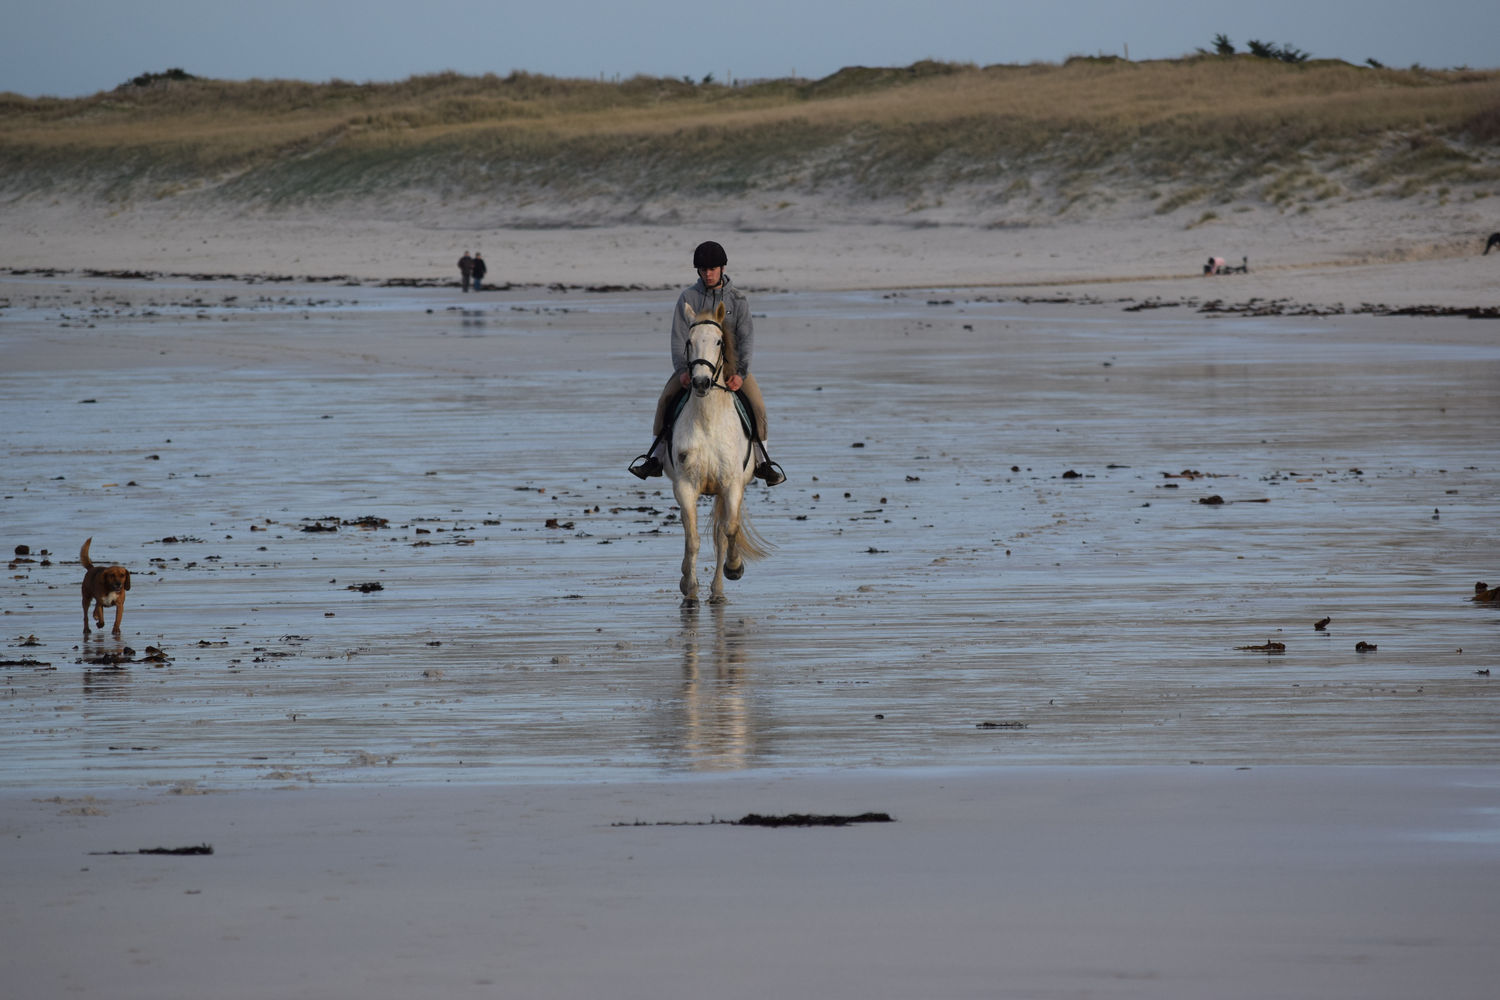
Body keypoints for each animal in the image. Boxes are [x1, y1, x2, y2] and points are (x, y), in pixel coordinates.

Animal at [669, 301, 774, 605]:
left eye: (718, 341)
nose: (701, 382)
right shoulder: (684, 486)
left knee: (720, 534)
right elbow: (692, 539)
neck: (708, 420)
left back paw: (717, 591)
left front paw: (734, 568)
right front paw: (690, 589)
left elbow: (729, 531)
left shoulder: (732, 485)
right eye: (689, 341)